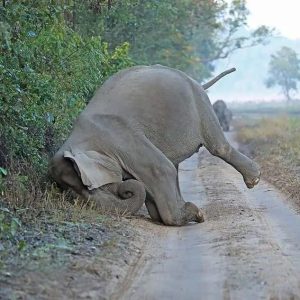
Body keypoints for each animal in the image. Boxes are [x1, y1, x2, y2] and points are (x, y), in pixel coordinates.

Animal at [49, 64, 260, 226]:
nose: (125, 191)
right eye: (72, 191)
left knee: (217, 146)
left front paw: (196, 214)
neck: (80, 138)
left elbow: (160, 170)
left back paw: (254, 179)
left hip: (199, 103)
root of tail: (194, 81)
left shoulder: (122, 138)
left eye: (87, 188)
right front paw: (177, 213)